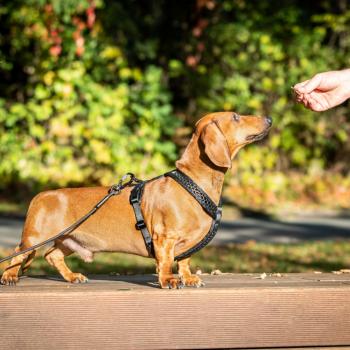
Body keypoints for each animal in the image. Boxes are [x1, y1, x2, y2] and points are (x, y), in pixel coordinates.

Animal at [0, 111, 270, 288]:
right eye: (235, 117)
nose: (268, 120)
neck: (193, 182)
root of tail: (41, 195)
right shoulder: (164, 236)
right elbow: (166, 261)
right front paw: (168, 280)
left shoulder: (186, 244)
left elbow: (184, 260)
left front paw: (188, 277)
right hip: (35, 237)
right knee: (17, 253)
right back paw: (10, 276)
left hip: (68, 238)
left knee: (52, 255)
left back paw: (72, 276)